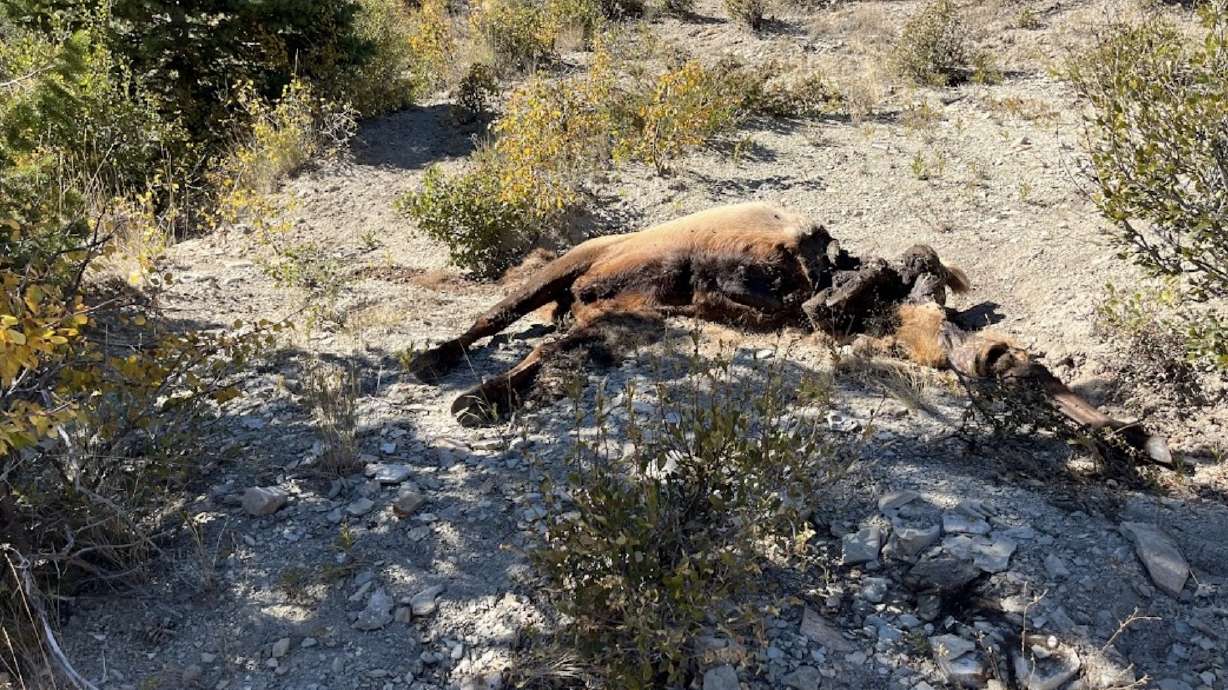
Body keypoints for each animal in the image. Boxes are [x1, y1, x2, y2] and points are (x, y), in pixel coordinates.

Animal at [409, 202, 1171, 465]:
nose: (942, 322)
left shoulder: (631, 316)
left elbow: (553, 351)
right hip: (573, 263)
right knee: (495, 317)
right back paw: (434, 362)